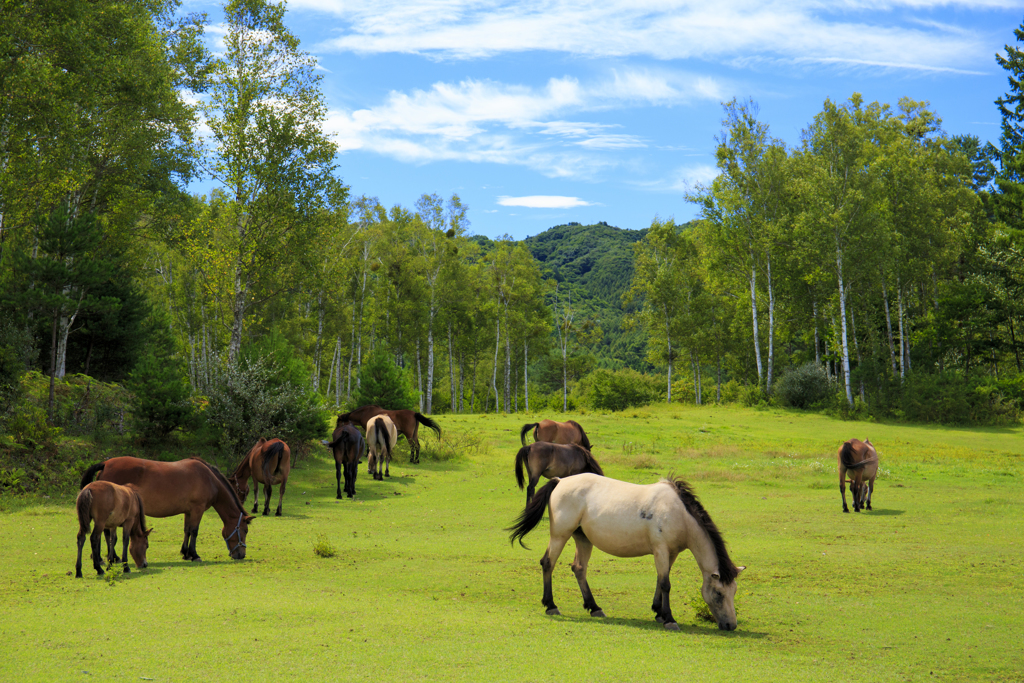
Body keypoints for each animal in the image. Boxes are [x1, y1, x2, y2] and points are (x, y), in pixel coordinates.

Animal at [79, 456, 253, 565]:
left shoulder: (189, 511)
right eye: (244, 531)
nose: (241, 555)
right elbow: (194, 531)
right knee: (106, 533)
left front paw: (185, 553)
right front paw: (194, 555)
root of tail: (106, 463)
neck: (209, 478)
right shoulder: (198, 509)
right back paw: (109, 558)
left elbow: (187, 530)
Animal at [509, 475, 745, 630]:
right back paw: (551, 605)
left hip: (583, 539)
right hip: (560, 535)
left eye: (733, 591)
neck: (679, 513)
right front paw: (669, 619)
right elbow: (666, 583)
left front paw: (658, 612)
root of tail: (560, 480)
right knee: (548, 563)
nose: (731, 625)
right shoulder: (661, 549)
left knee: (579, 569)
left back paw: (594, 607)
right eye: (719, 593)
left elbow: (660, 580)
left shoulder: (671, 553)